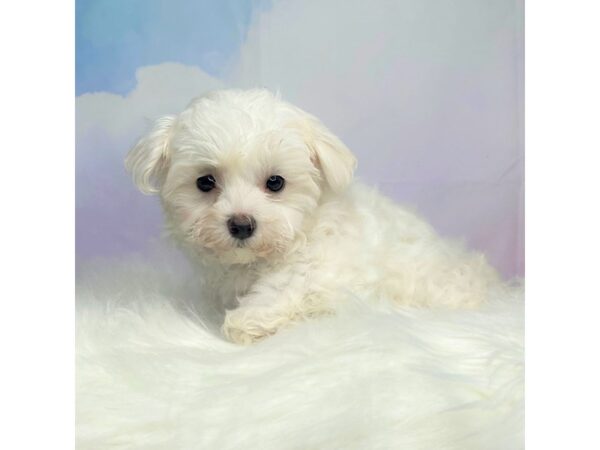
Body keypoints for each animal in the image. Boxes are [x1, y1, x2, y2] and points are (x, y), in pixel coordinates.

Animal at [126, 88, 502, 344]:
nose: (241, 224)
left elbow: (287, 291)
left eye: (275, 182)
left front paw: (247, 321)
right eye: (205, 182)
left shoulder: (326, 274)